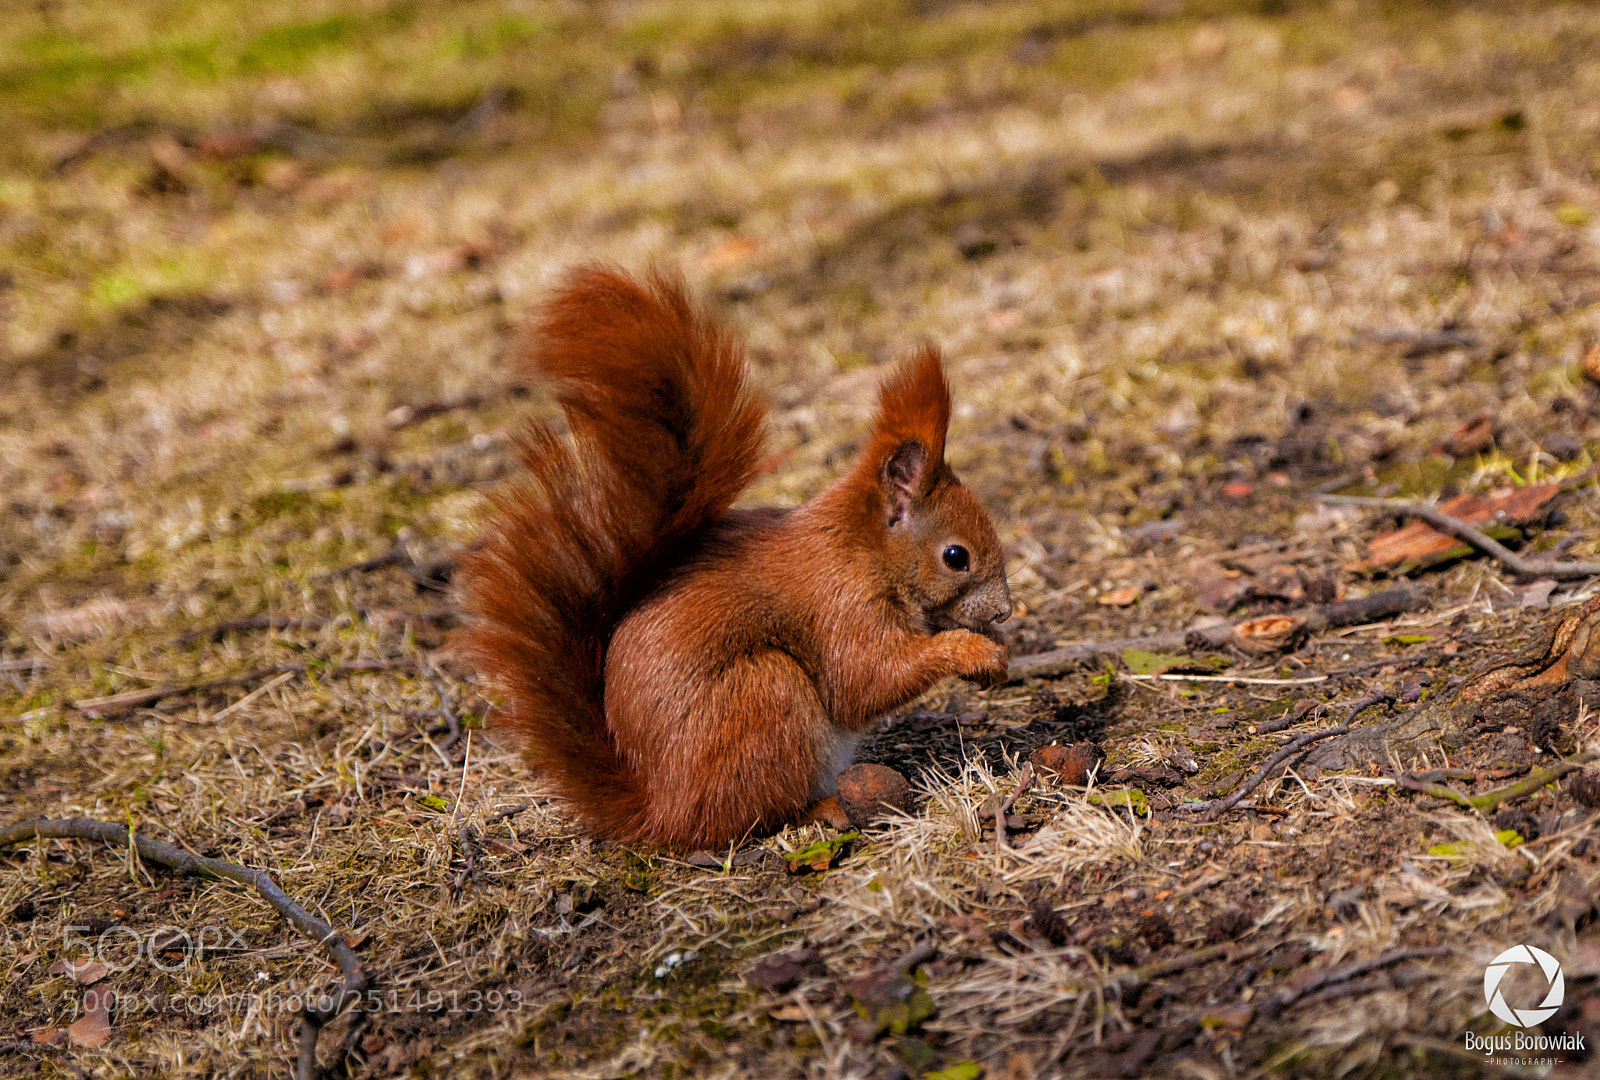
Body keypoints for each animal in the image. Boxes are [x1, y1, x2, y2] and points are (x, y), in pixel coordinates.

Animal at [460, 267, 1012, 849]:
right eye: (956, 556)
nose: (1004, 612)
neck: (863, 550)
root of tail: (659, 810)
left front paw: (996, 650)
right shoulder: (841, 606)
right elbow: (865, 682)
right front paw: (971, 650)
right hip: (763, 694)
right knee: (747, 816)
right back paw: (820, 810)